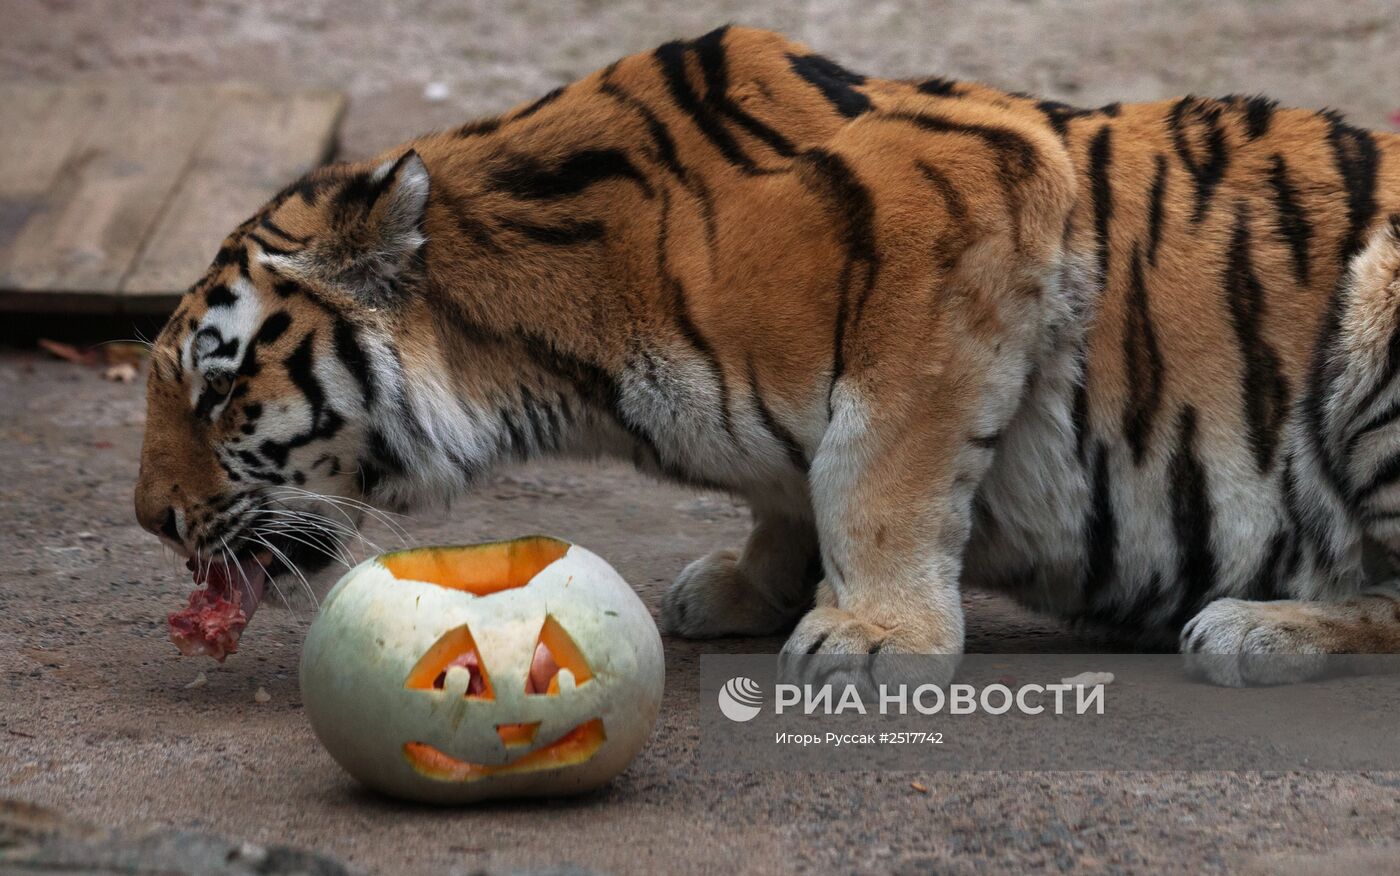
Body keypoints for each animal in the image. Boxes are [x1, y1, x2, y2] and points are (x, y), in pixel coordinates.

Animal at [133, 25, 1400, 682]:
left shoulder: (967, 202)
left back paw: (1258, 627)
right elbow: (794, 491)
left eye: (216, 389)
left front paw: (875, 636)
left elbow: (870, 473)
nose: (150, 520)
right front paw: (748, 584)